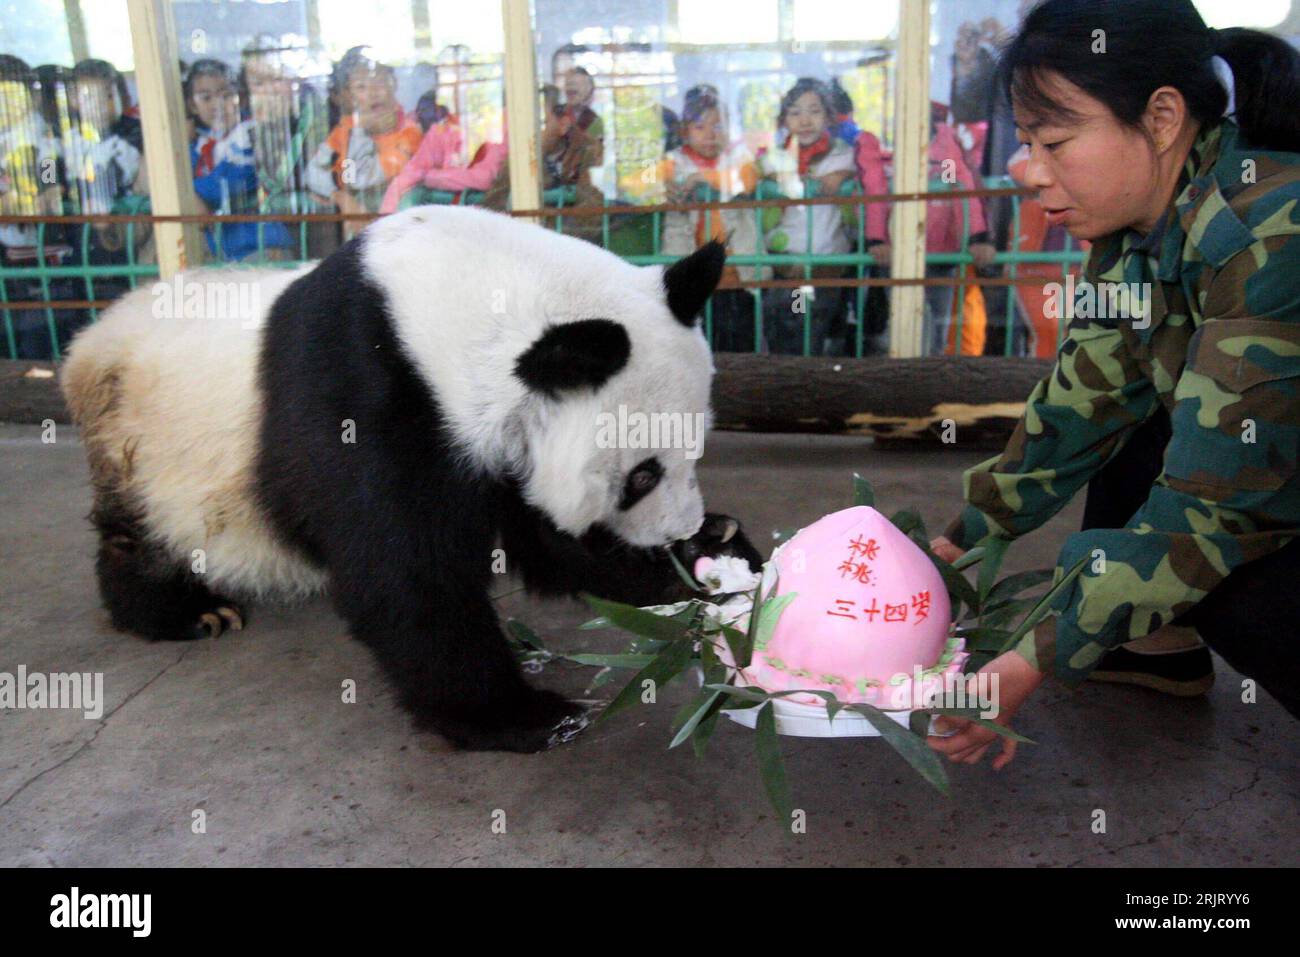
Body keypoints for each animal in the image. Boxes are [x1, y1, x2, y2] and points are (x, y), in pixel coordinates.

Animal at [63, 208, 759, 754]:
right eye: (641, 475)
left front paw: (714, 554)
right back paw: (187, 611)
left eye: (694, 449)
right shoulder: (365, 391)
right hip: (143, 443)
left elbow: (548, 544)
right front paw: (521, 716)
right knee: (142, 532)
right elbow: (404, 571)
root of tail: (89, 336)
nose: (677, 530)